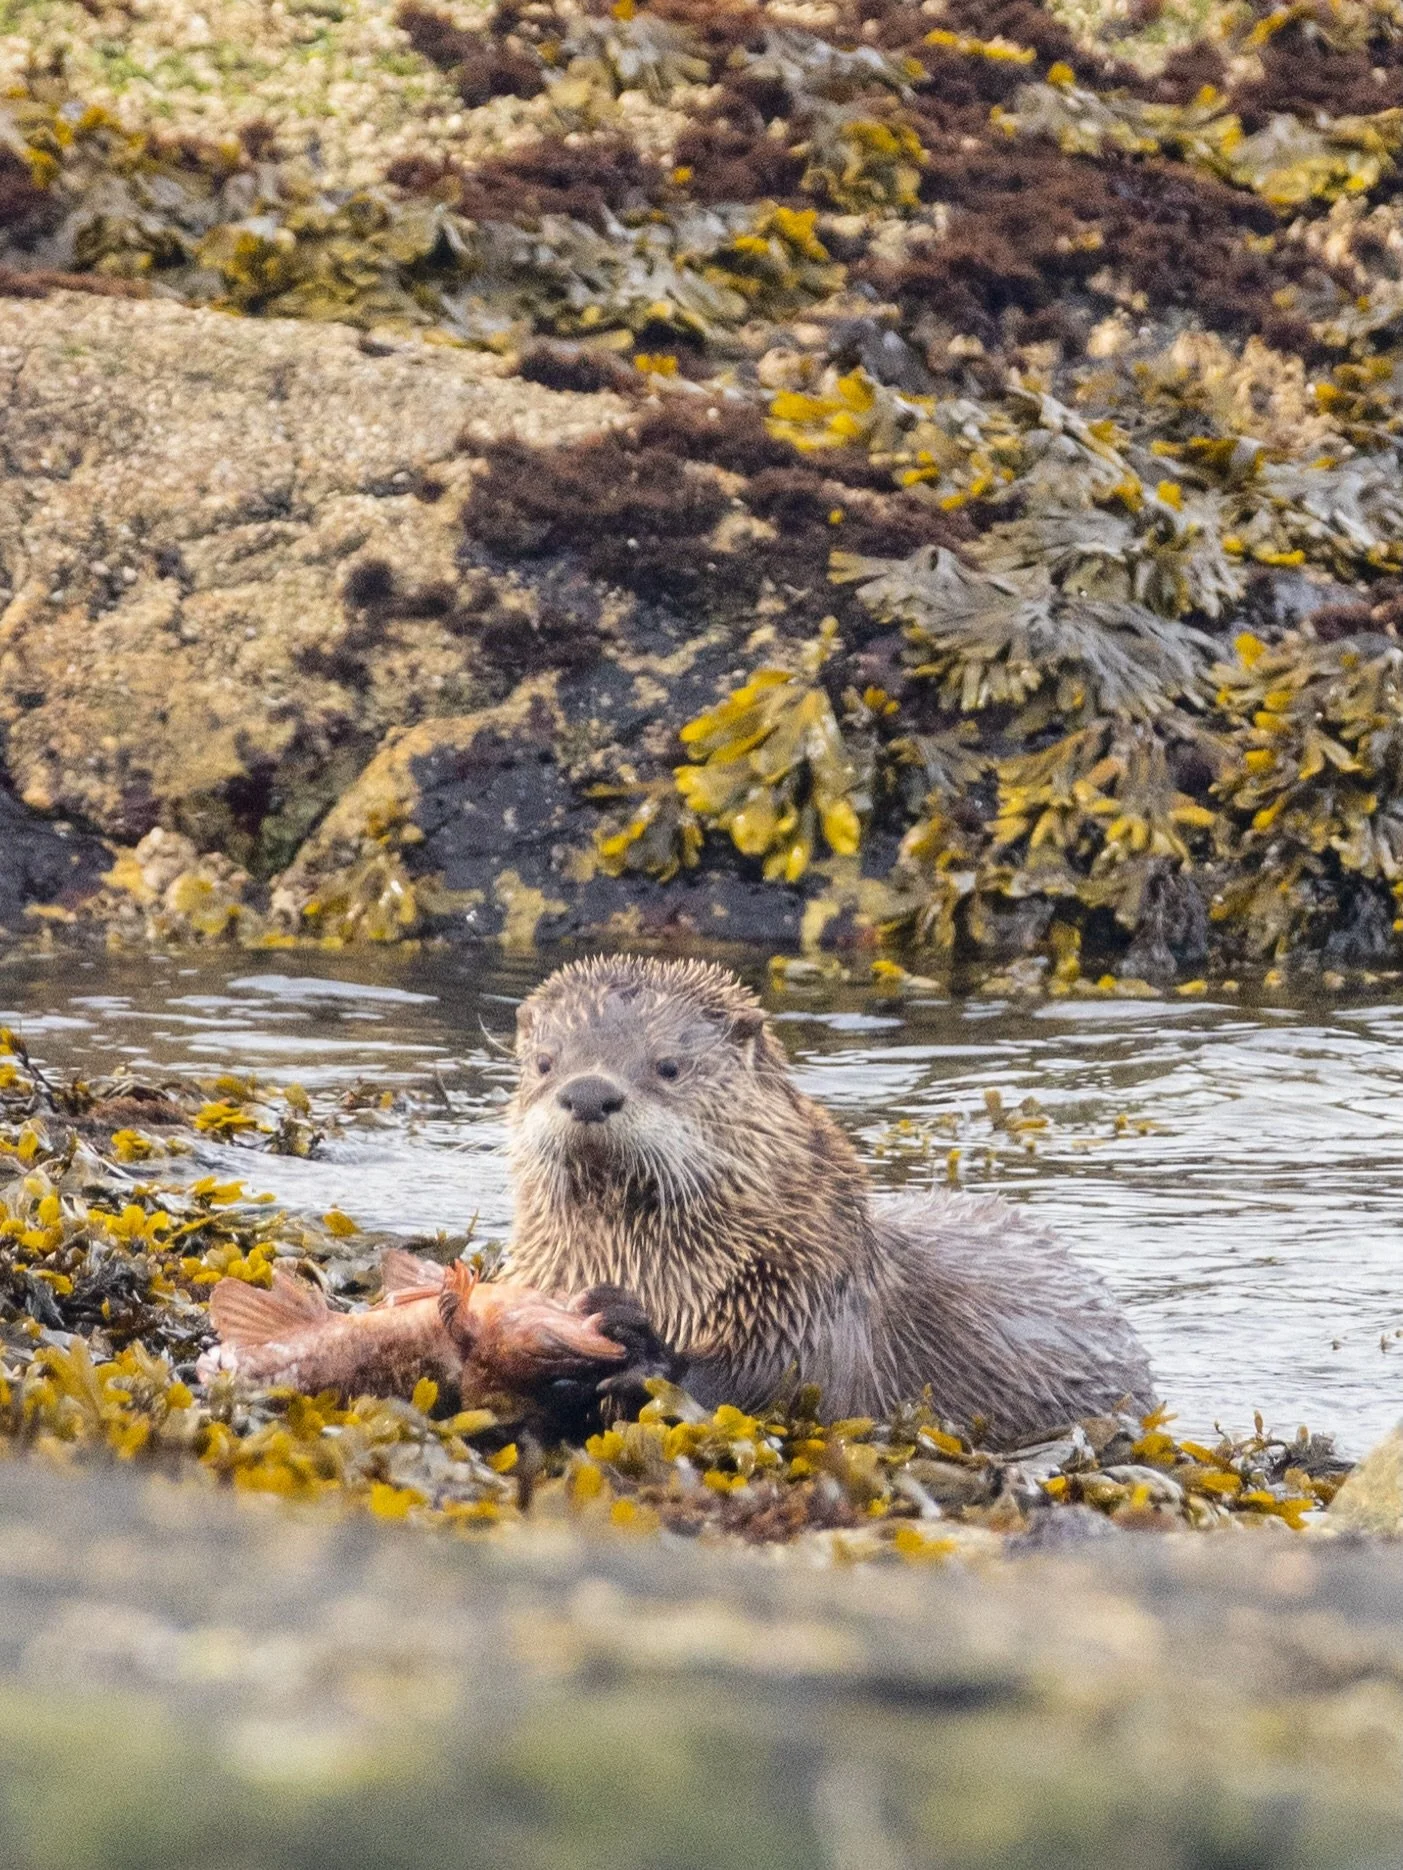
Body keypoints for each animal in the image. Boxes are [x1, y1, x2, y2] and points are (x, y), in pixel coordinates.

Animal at [506, 955, 1155, 1444]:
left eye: (668, 1066)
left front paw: (642, 1349)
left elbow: (776, 1384)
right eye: (544, 1063)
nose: (589, 1092)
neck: (668, 1280)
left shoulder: (810, 1305)